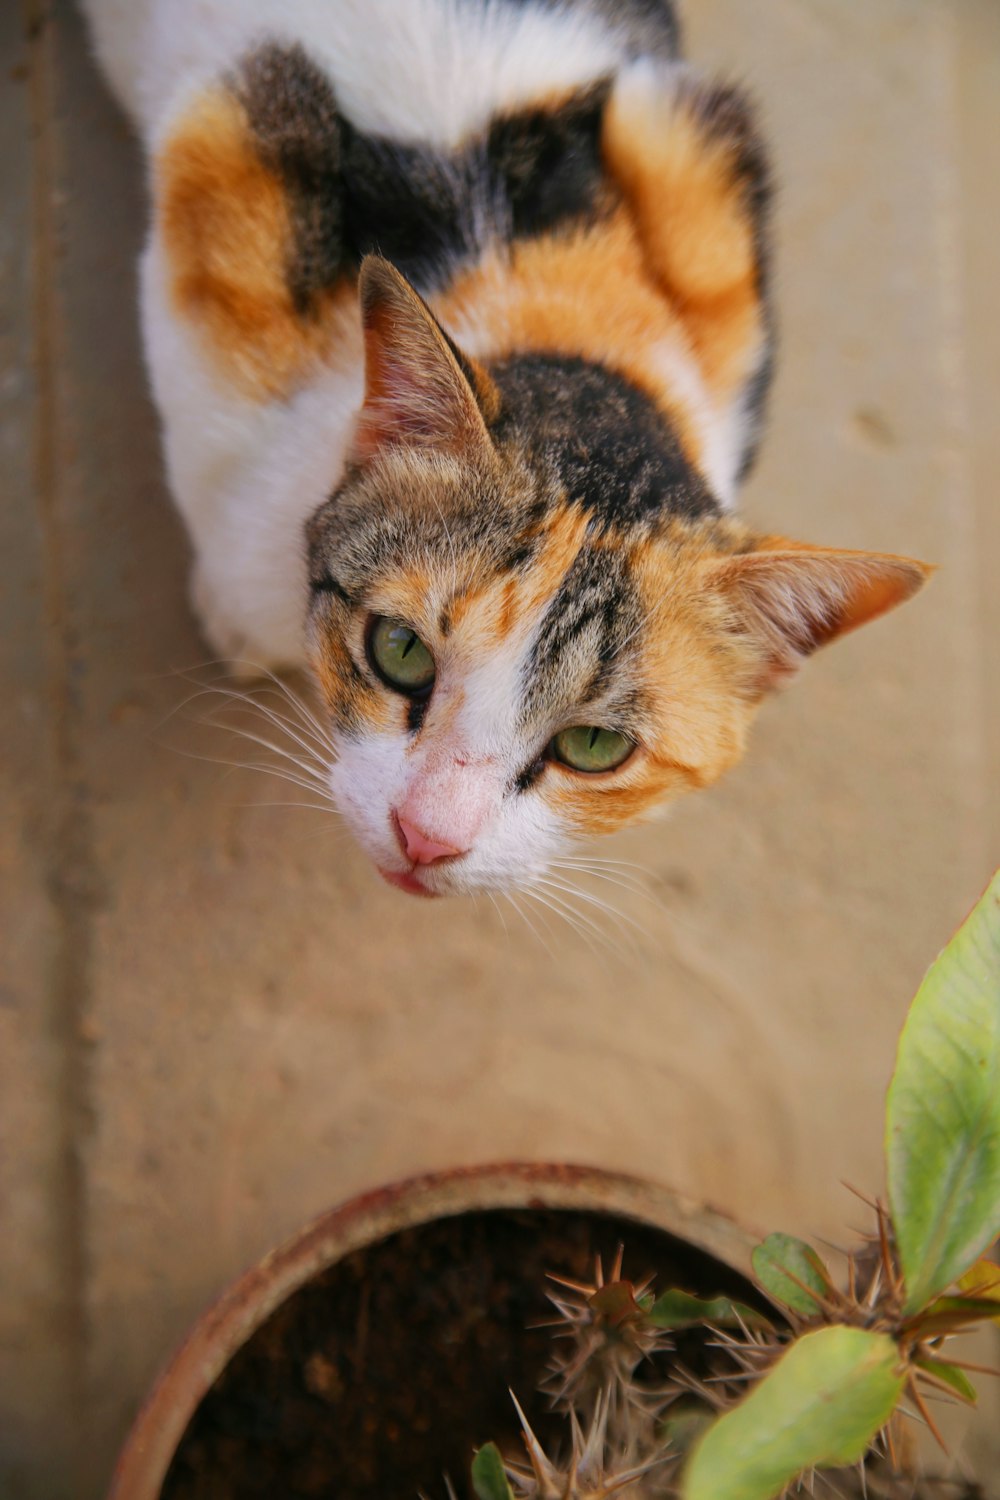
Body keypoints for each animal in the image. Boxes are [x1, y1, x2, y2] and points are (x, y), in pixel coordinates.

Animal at [82, 0, 935, 888]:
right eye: (399, 651)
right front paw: (235, 622)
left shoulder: (700, 177)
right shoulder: (231, 143)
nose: (426, 836)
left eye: (594, 746)